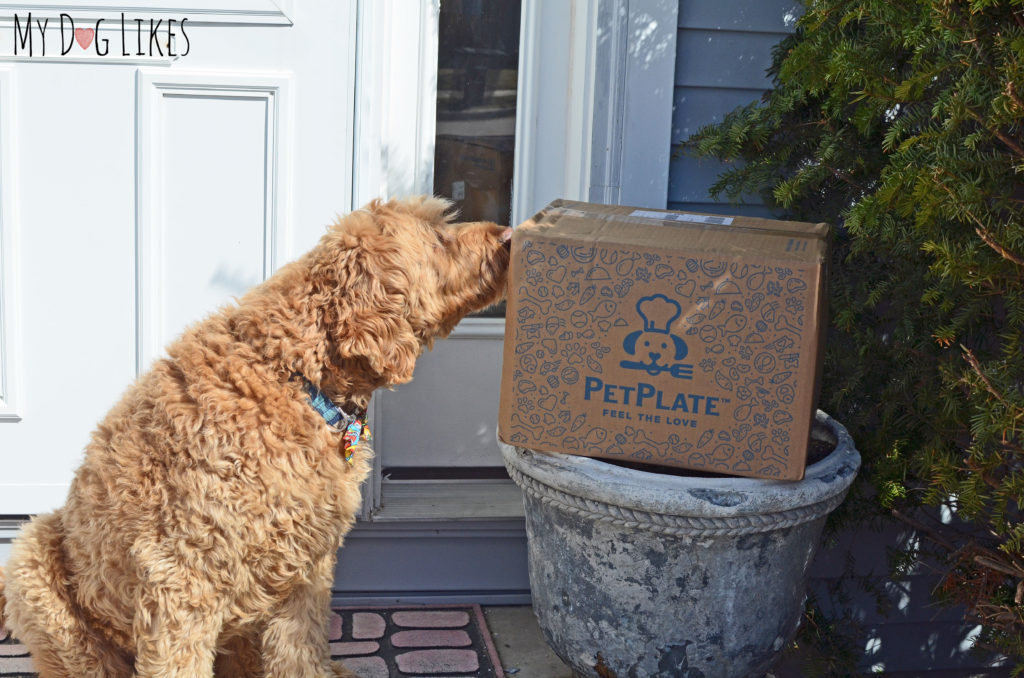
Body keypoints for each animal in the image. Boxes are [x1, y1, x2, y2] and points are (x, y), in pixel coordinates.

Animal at [0, 197, 512, 678]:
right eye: (439, 236)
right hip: (34, 558)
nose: (509, 235)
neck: (291, 375)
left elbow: (300, 650)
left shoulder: (306, 566)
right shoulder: (180, 574)